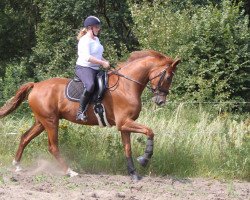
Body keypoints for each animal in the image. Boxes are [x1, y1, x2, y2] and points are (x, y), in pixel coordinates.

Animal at [0, 49, 180, 180]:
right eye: (168, 77)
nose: (160, 101)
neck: (126, 85)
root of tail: (36, 85)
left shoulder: (124, 125)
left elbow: (127, 149)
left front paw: (133, 174)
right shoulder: (124, 122)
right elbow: (150, 131)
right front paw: (145, 158)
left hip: (41, 121)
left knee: (25, 137)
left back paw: (17, 165)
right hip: (50, 121)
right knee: (53, 147)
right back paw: (70, 171)